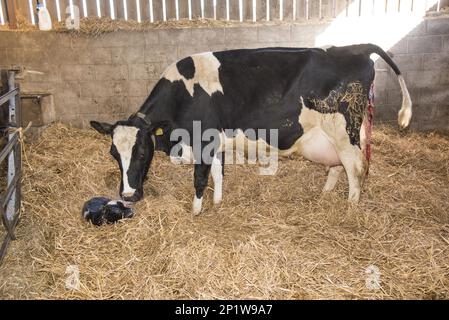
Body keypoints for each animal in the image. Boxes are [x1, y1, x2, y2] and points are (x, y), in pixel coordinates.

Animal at [90, 43, 410, 214]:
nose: (128, 195)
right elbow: (218, 173)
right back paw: (325, 194)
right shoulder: (214, 141)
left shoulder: (202, 139)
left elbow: (199, 178)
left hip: (344, 132)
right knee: (339, 166)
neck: (183, 95)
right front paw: (218, 202)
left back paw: (350, 208)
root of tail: (356, 48)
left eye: (142, 152)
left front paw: (196, 210)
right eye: (113, 154)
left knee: (355, 169)